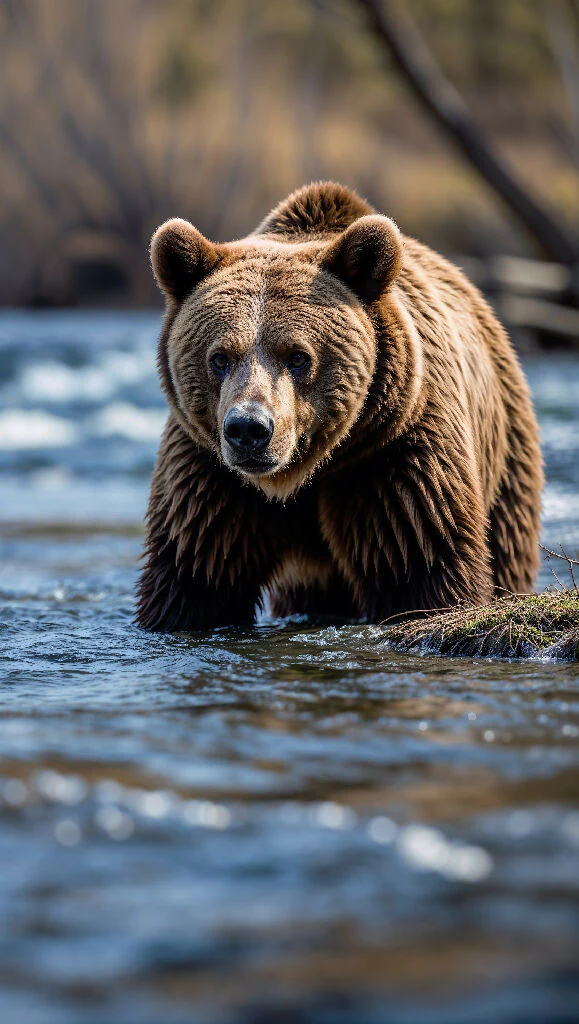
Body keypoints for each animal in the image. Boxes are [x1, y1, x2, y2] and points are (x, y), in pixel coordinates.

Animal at [136, 181, 543, 632]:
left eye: (297, 356)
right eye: (220, 357)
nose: (249, 429)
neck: (305, 473)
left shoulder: (391, 457)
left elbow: (421, 564)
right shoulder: (210, 475)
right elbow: (195, 573)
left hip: (505, 455)